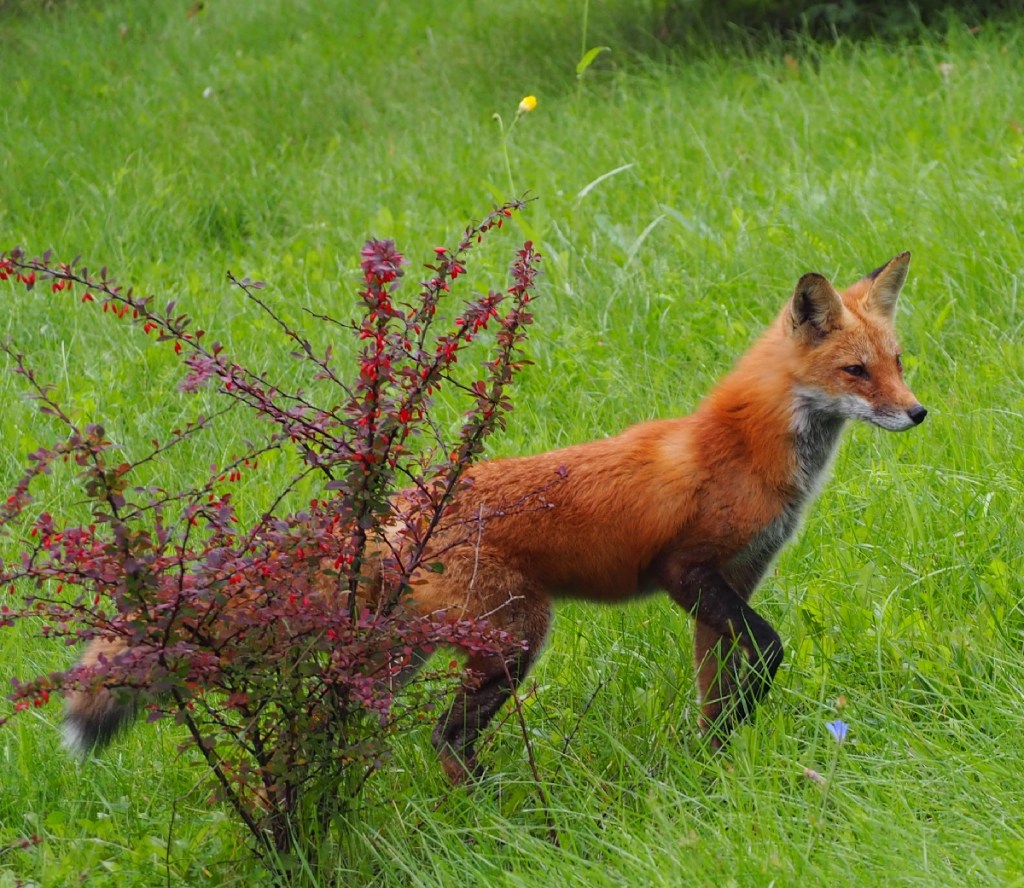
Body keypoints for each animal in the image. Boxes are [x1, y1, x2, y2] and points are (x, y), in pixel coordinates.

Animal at [63, 252, 926, 782]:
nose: (918, 413)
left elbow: (718, 695)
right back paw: (502, 817)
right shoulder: (688, 570)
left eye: (897, 363)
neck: (750, 449)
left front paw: (716, 763)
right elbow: (770, 650)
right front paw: (731, 743)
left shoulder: (727, 591)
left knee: (369, 719)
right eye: (856, 371)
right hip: (515, 641)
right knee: (443, 735)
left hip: (410, 649)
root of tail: (408, 506)